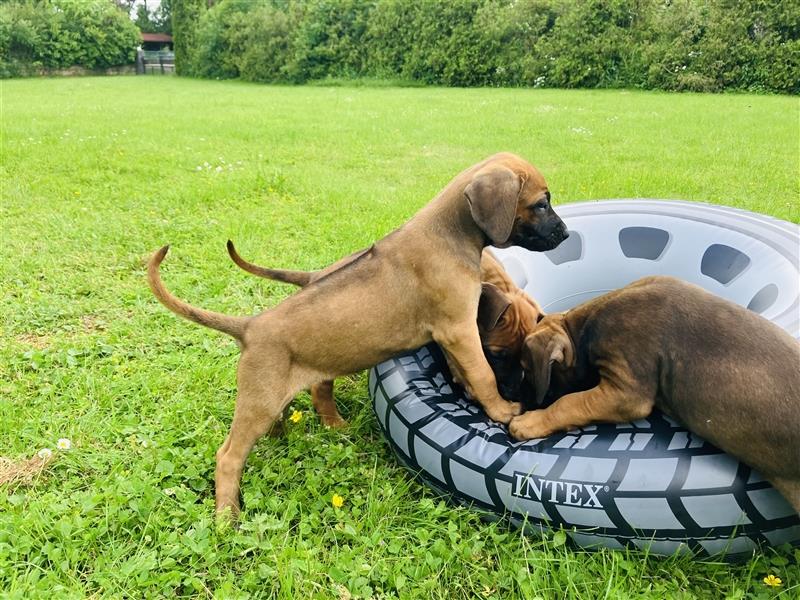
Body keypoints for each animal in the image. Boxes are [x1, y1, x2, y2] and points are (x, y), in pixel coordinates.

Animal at [147, 152, 564, 516]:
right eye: (541, 204)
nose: (564, 234)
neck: (449, 232)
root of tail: (250, 327)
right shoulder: (460, 330)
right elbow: (482, 374)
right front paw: (501, 408)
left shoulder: (453, 335)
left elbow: (466, 373)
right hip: (257, 404)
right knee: (229, 456)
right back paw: (226, 516)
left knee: (305, 401)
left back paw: (314, 431)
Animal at [510, 276, 796, 510]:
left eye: (525, 371)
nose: (516, 400)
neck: (583, 326)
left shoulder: (626, 392)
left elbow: (570, 402)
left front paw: (529, 422)